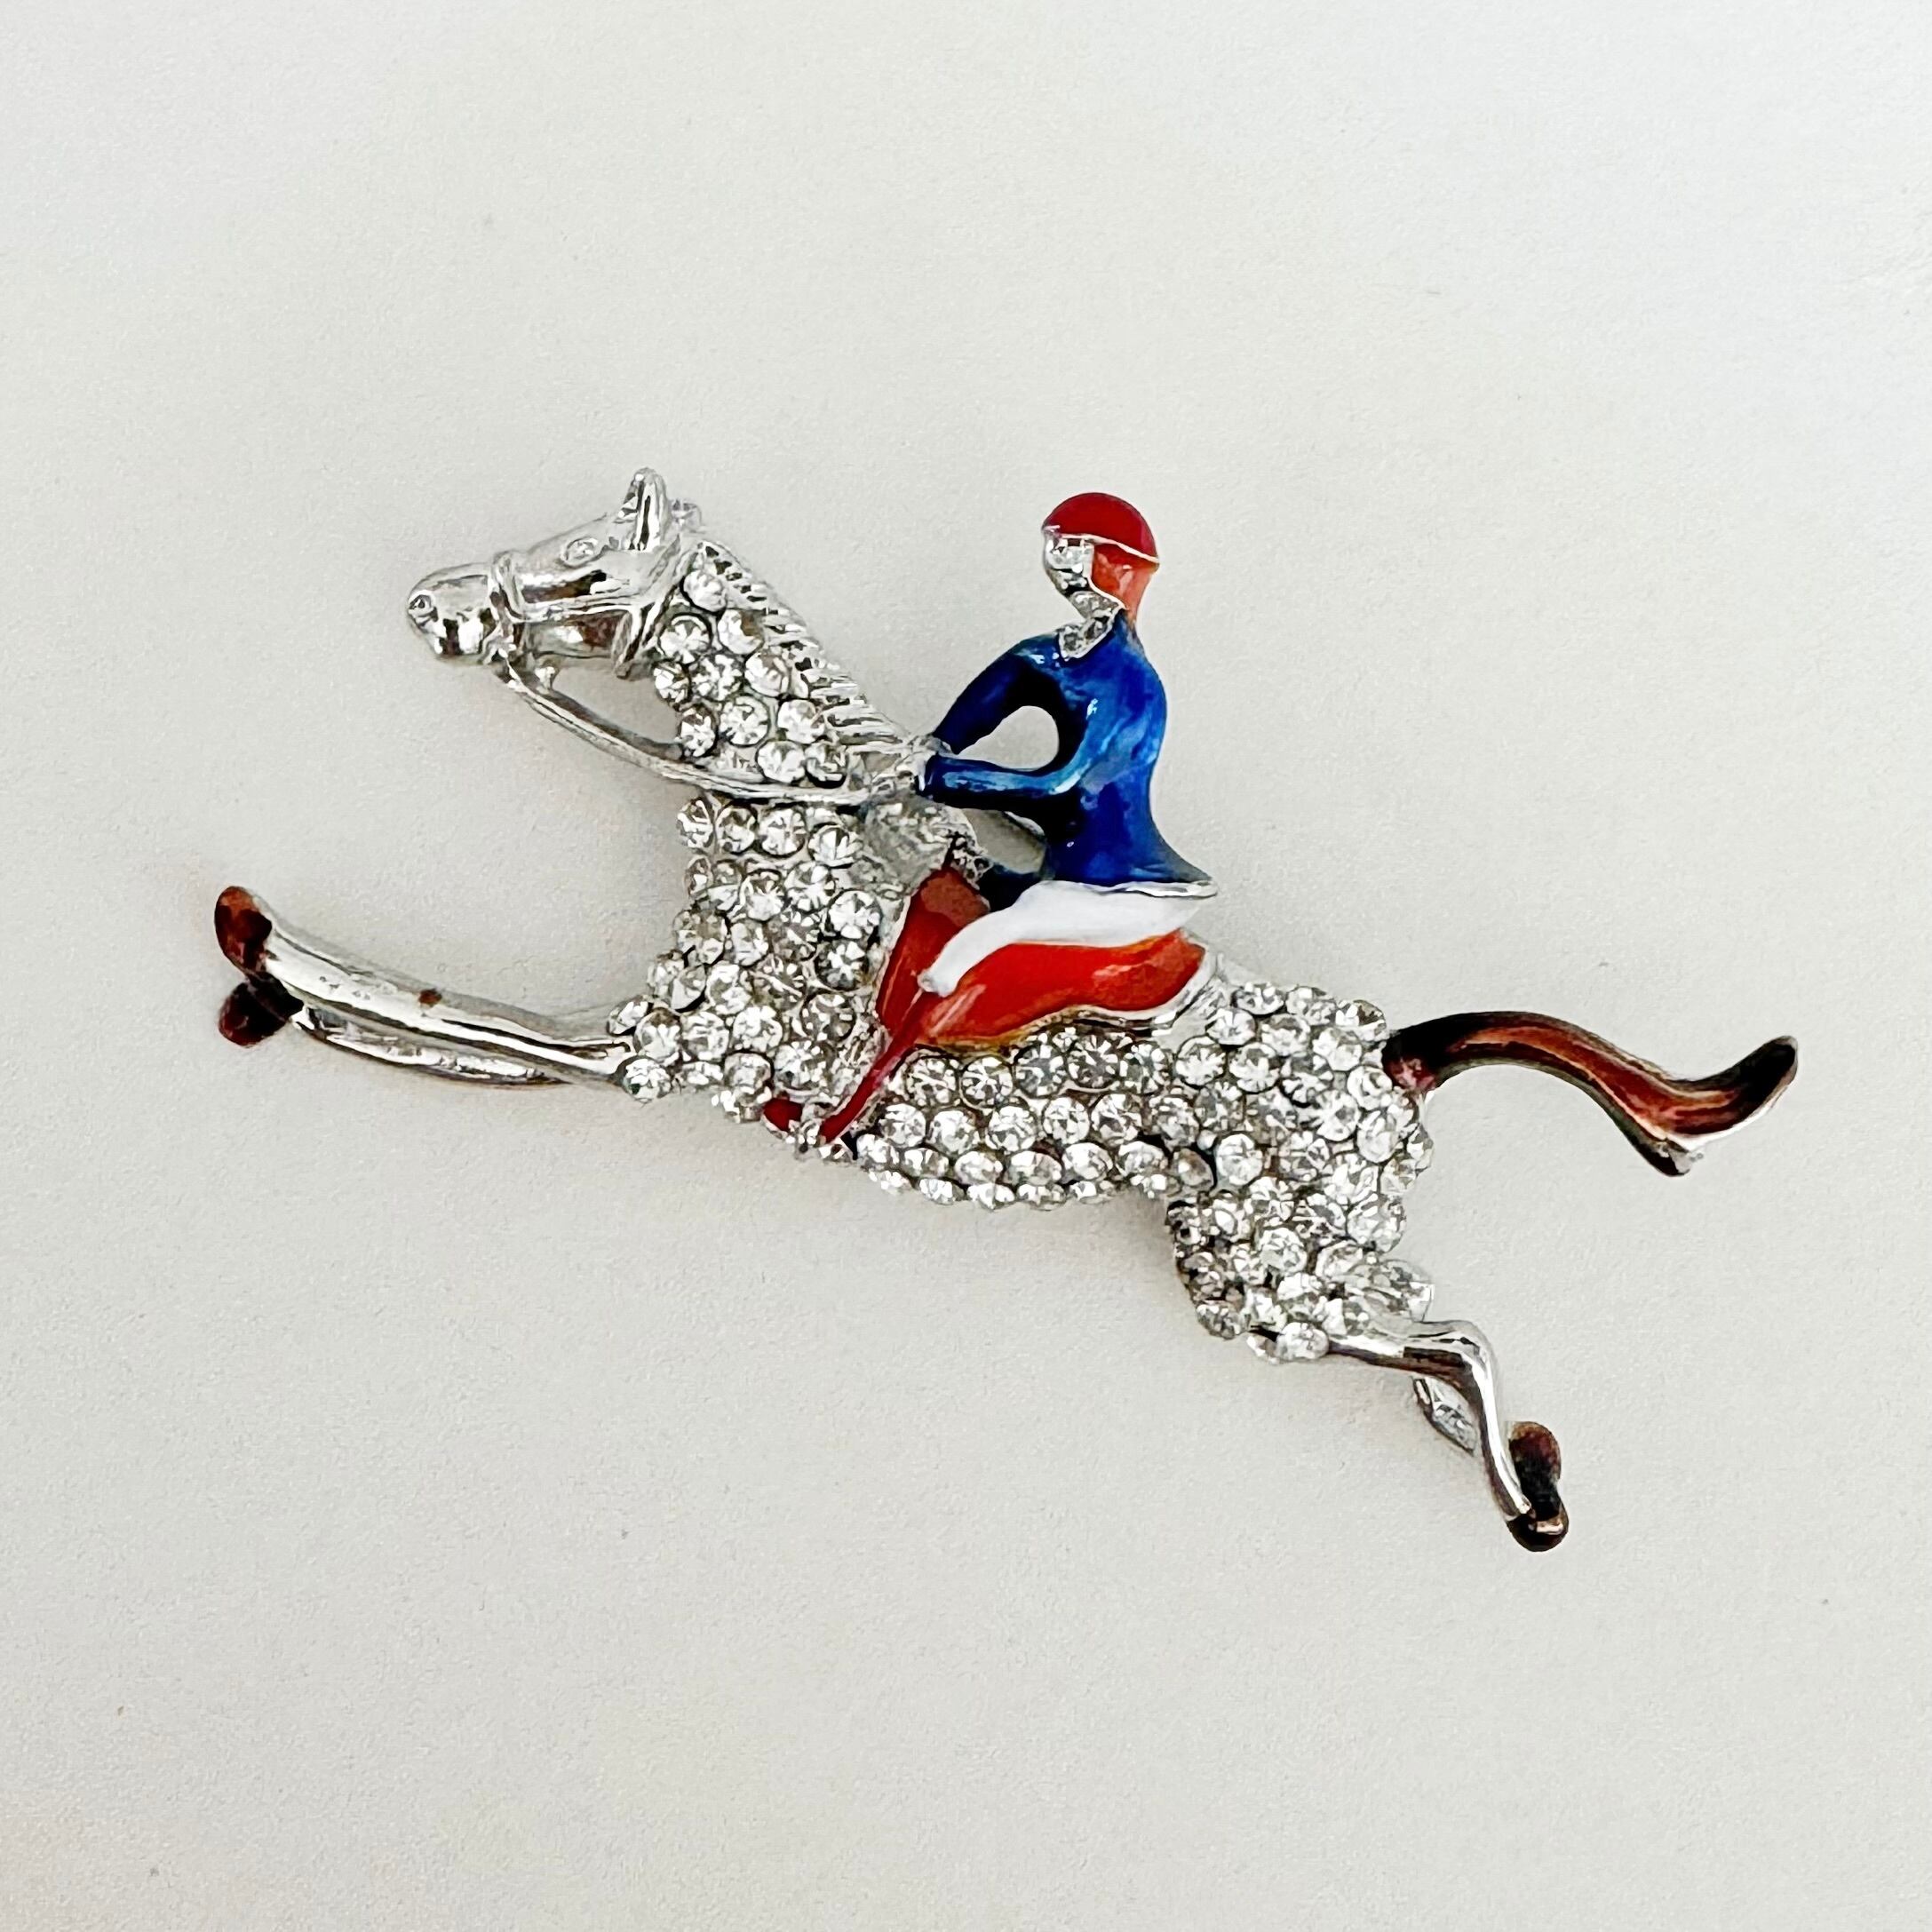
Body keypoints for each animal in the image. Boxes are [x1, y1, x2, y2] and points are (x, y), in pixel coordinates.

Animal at [213, 465, 1797, 1551]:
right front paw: (281, 980)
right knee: (1417, 1319)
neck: (782, 849)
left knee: (1449, 1338)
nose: (437, 608)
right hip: (1302, 1257)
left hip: (1248, 1281)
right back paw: (1509, 1446)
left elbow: (461, 1015)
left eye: (577, 570)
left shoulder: (650, 1056)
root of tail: (1398, 1058)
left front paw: (265, 956)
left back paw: (1527, 1495)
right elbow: (472, 1034)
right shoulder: (637, 1044)